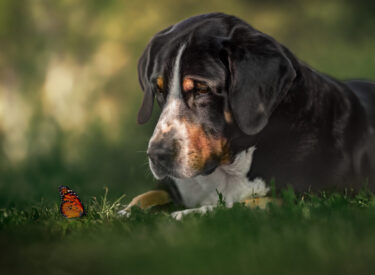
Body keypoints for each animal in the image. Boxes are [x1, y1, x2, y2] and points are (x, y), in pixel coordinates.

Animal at [119, 12, 375, 220]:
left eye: (202, 89)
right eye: (159, 90)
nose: (157, 155)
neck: (230, 166)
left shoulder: (308, 198)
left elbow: (237, 205)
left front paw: (185, 215)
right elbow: (148, 195)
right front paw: (122, 213)